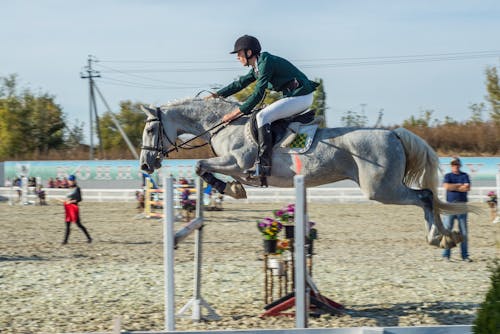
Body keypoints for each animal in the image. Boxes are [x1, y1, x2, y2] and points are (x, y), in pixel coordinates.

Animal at [140, 96, 472, 248]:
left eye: (151, 129)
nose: (145, 165)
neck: (225, 125)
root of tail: (392, 133)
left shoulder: (238, 162)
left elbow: (201, 166)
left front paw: (231, 190)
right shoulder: (236, 166)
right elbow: (206, 170)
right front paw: (234, 189)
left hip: (381, 189)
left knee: (425, 195)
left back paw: (441, 237)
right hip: (385, 187)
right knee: (426, 197)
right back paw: (446, 237)